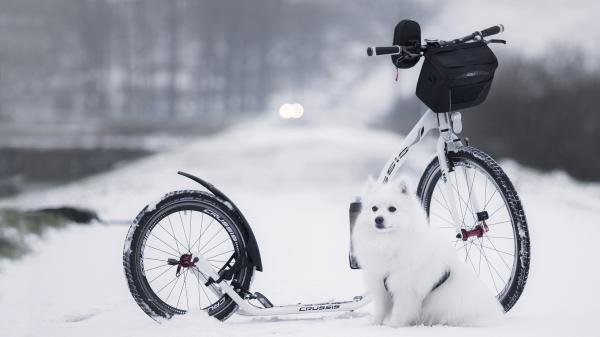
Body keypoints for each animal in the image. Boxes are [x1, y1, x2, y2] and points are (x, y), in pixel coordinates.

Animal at [352, 176, 502, 326]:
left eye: (392, 209)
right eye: (374, 208)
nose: (378, 219)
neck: (388, 242)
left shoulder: (405, 289)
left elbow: (399, 312)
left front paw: (392, 326)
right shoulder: (379, 285)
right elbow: (379, 310)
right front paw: (373, 324)